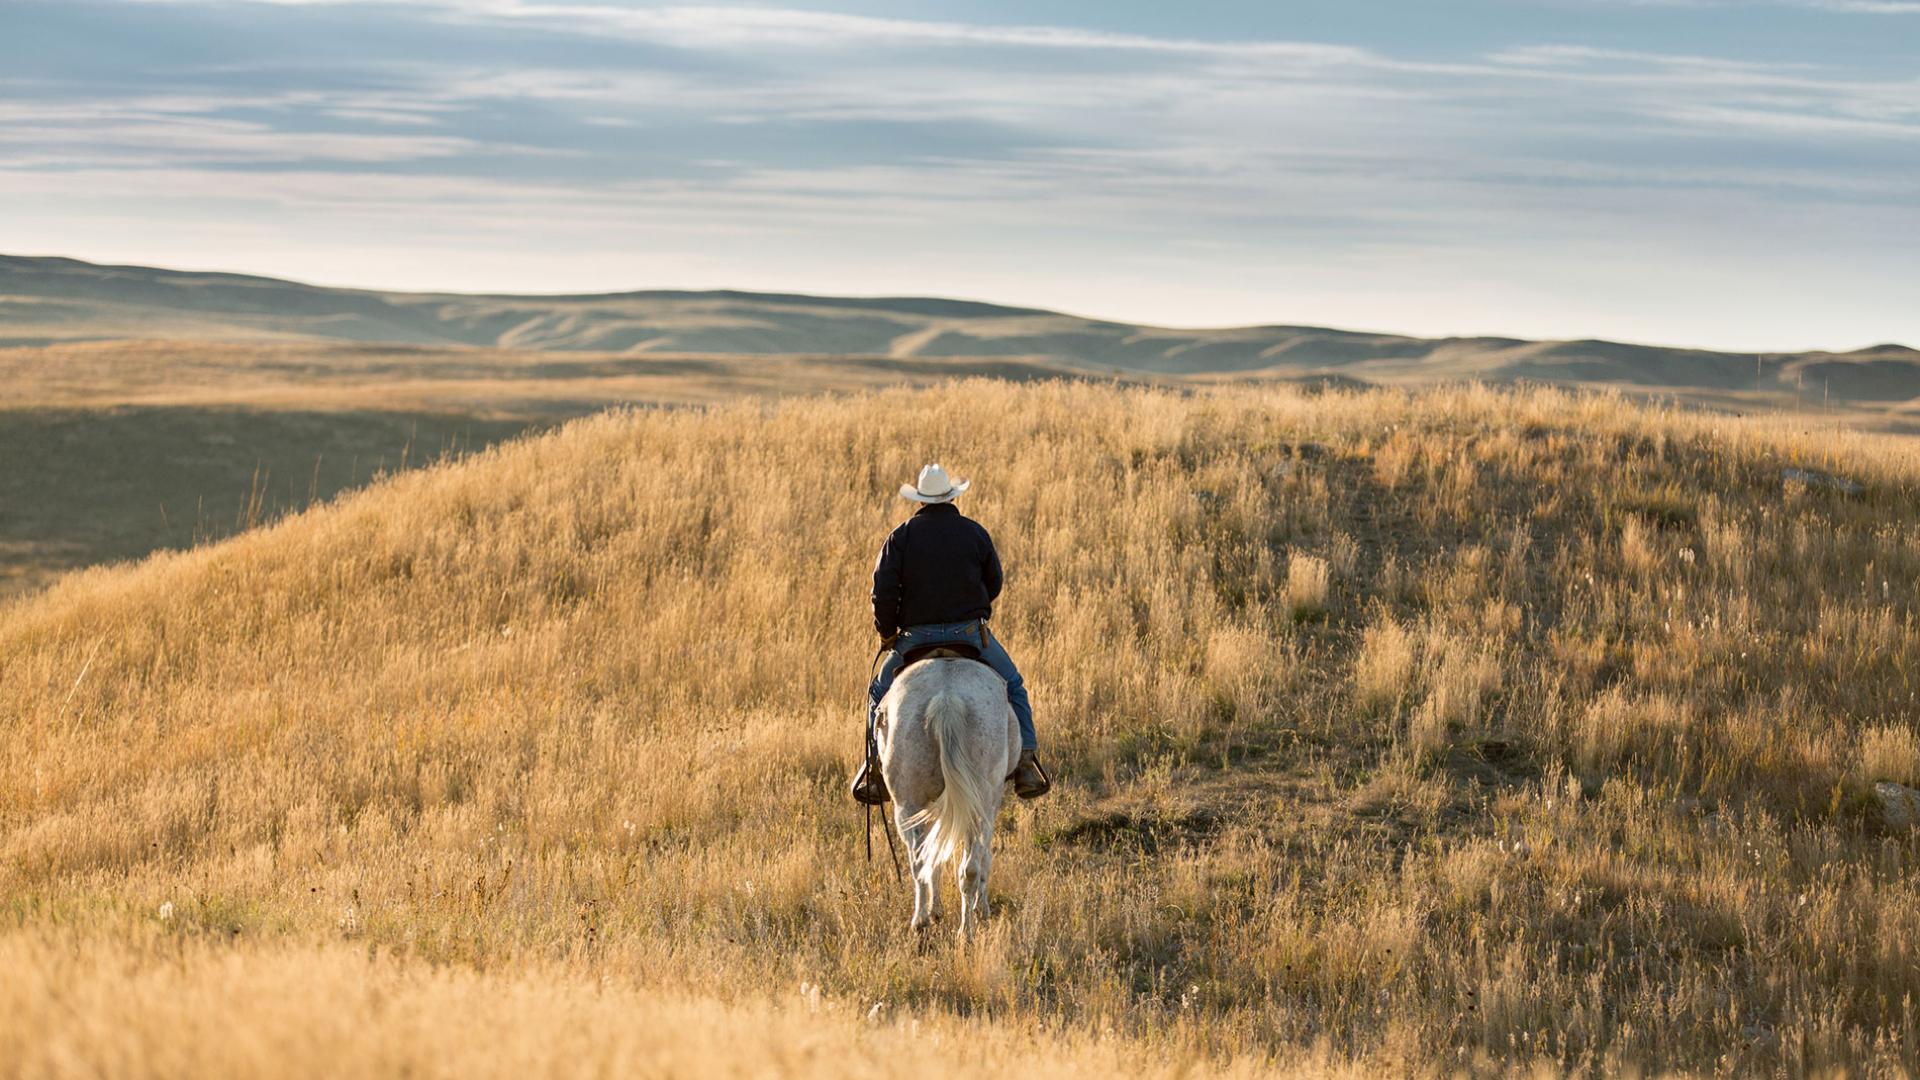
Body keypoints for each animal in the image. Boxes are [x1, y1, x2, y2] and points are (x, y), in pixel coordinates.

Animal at [879, 645, 1021, 933]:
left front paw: (937, 911)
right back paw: (966, 930)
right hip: (978, 805)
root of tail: (946, 700)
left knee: (920, 862)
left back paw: (921, 921)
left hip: (908, 805)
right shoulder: (991, 803)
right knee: (970, 867)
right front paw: (981, 909)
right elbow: (984, 858)